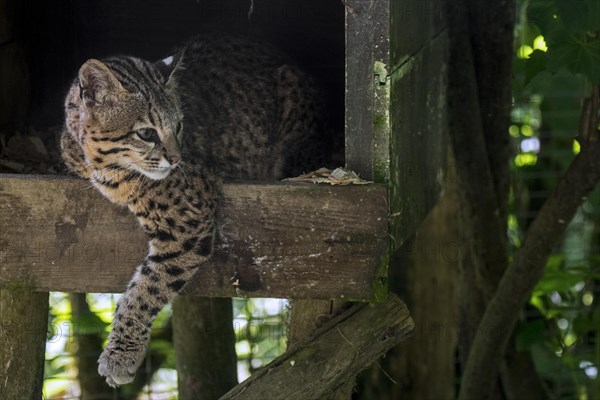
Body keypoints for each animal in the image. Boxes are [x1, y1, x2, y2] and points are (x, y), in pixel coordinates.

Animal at [61, 36, 328, 386]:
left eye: (179, 127)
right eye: (146, 133)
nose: (176, 160)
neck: (102, 163)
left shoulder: (189, 220)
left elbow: (147, 288)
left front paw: (120, 355)